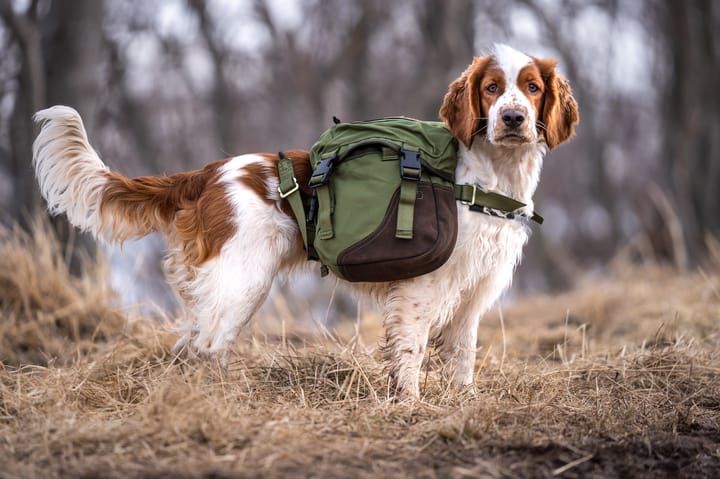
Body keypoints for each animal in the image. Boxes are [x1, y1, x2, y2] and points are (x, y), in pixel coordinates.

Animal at [32, 44, 580, 398]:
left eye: (532, 88)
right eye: (491, 88)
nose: (512, 118)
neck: (483, 177)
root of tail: (205, 174)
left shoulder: (472, 296)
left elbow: (462, 360)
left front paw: (462, 405)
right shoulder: (421, 292)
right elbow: (410, 357)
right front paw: (411, 408)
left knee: (193, 346)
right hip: (242, 283)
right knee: (205, 349)